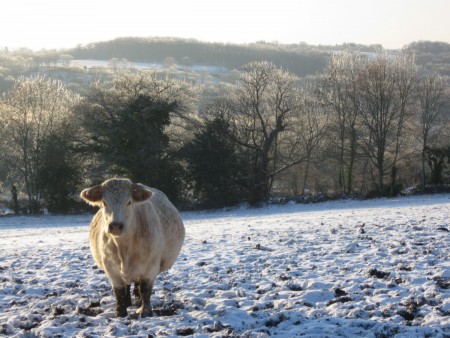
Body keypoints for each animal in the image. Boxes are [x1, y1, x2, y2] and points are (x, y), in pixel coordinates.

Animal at [80, 178, 185, 318]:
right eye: (104, 203)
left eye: (129, 202)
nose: (115, 225)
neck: (123, 249)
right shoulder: (111, 269)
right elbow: (119, 291)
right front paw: (120, 312)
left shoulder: (150, 268)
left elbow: (145, 289)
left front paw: (145, 311)